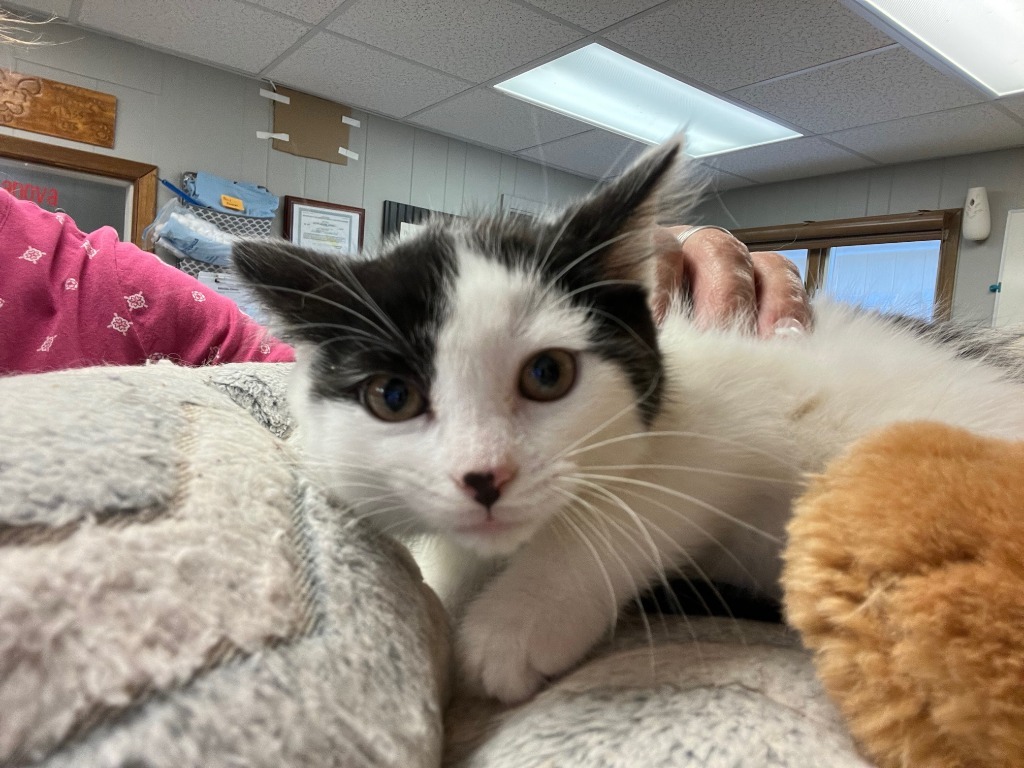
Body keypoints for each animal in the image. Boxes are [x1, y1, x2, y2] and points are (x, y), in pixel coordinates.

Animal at [235, 141, 1024, 708]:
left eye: (547, 375)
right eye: (393, 397)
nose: (484, 477)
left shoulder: (755, 406)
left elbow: (642, 497)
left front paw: (515, 621)